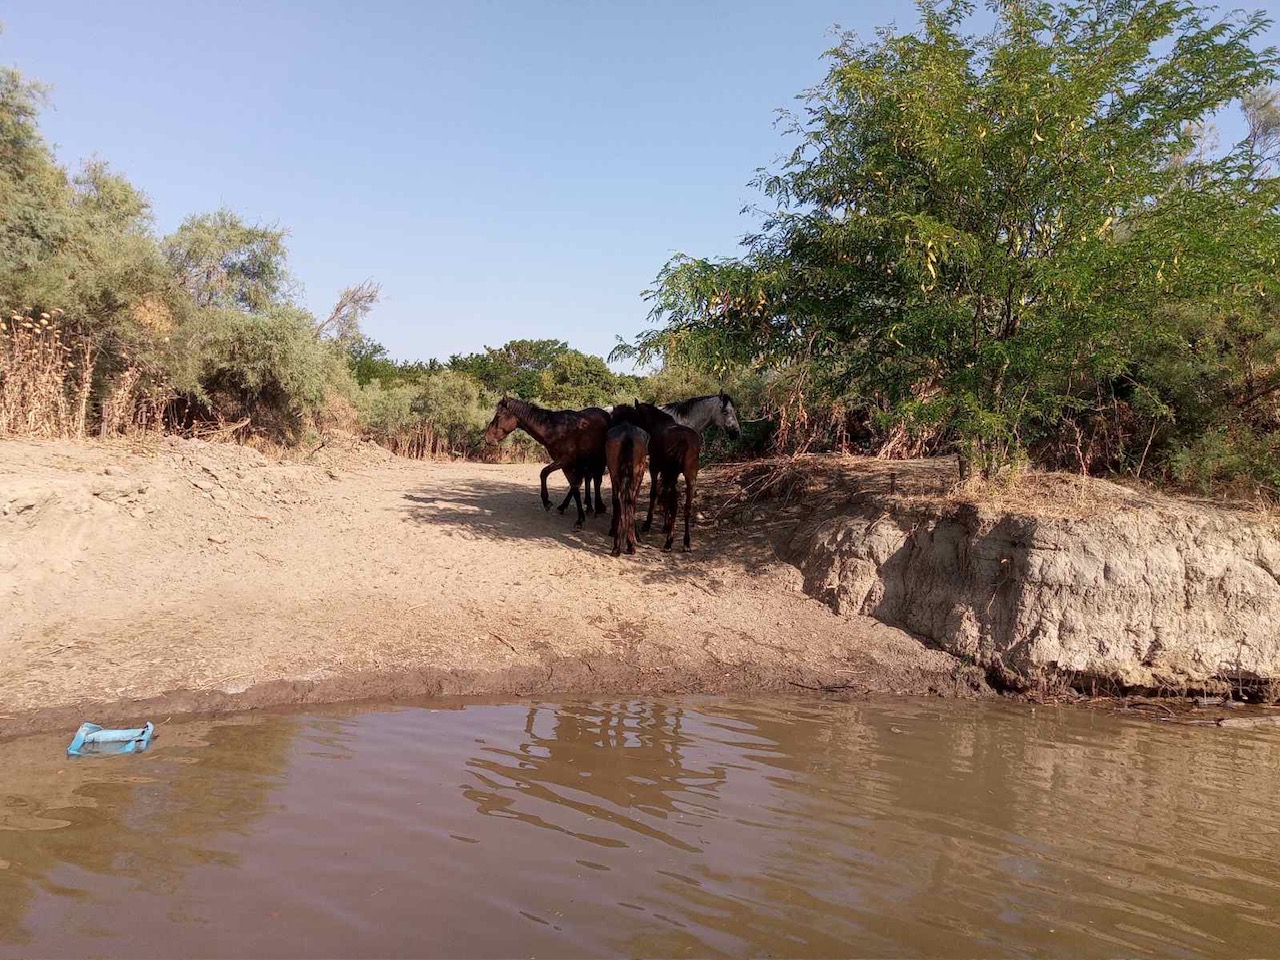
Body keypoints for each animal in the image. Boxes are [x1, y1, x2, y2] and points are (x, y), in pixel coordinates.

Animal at [488, 399, 609, 529]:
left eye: (498, 415)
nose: (487, 437)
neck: (556, 429)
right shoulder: (565, 464)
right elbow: (574, 486)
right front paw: (580, 518)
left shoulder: (565, 460)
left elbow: (544, 472)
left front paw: (547, 502)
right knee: (587, 479)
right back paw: (581, 507)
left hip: (598, 460)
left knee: (596, 480)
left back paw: (598, 508)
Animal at [604, 407, 650, 555]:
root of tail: (627, 433)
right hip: (635, 474)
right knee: (629, 499)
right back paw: (627, 544)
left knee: (623, 499)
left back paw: (621, 544)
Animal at [609, 401, 701, 552]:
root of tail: (683, 438)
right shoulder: (666, 472)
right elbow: (663, 496)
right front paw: (666, 525)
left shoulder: (655, 468)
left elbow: (654, 493)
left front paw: (649, 523)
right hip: (689, 476)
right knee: (686, 507)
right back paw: (685, 542)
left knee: (674, 503)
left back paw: (669, 541)